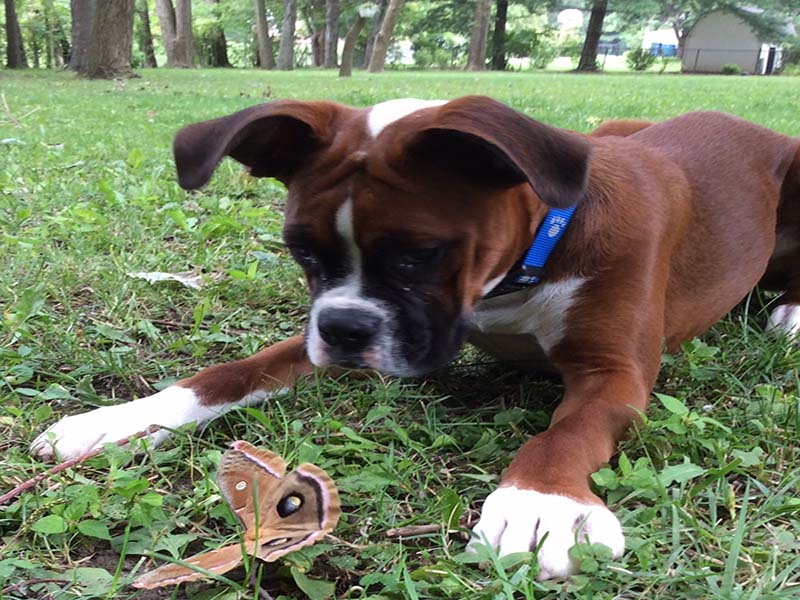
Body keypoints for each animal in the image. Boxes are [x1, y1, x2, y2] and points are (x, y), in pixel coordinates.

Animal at [31, 96, 800, 580]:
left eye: (420, 254)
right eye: (301, 251)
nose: (343, 329)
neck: (517, 275)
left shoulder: (614, 373)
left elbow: (570, 430)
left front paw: (542, 503)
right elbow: (229, 373)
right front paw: (116, 421)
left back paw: (791, 311)